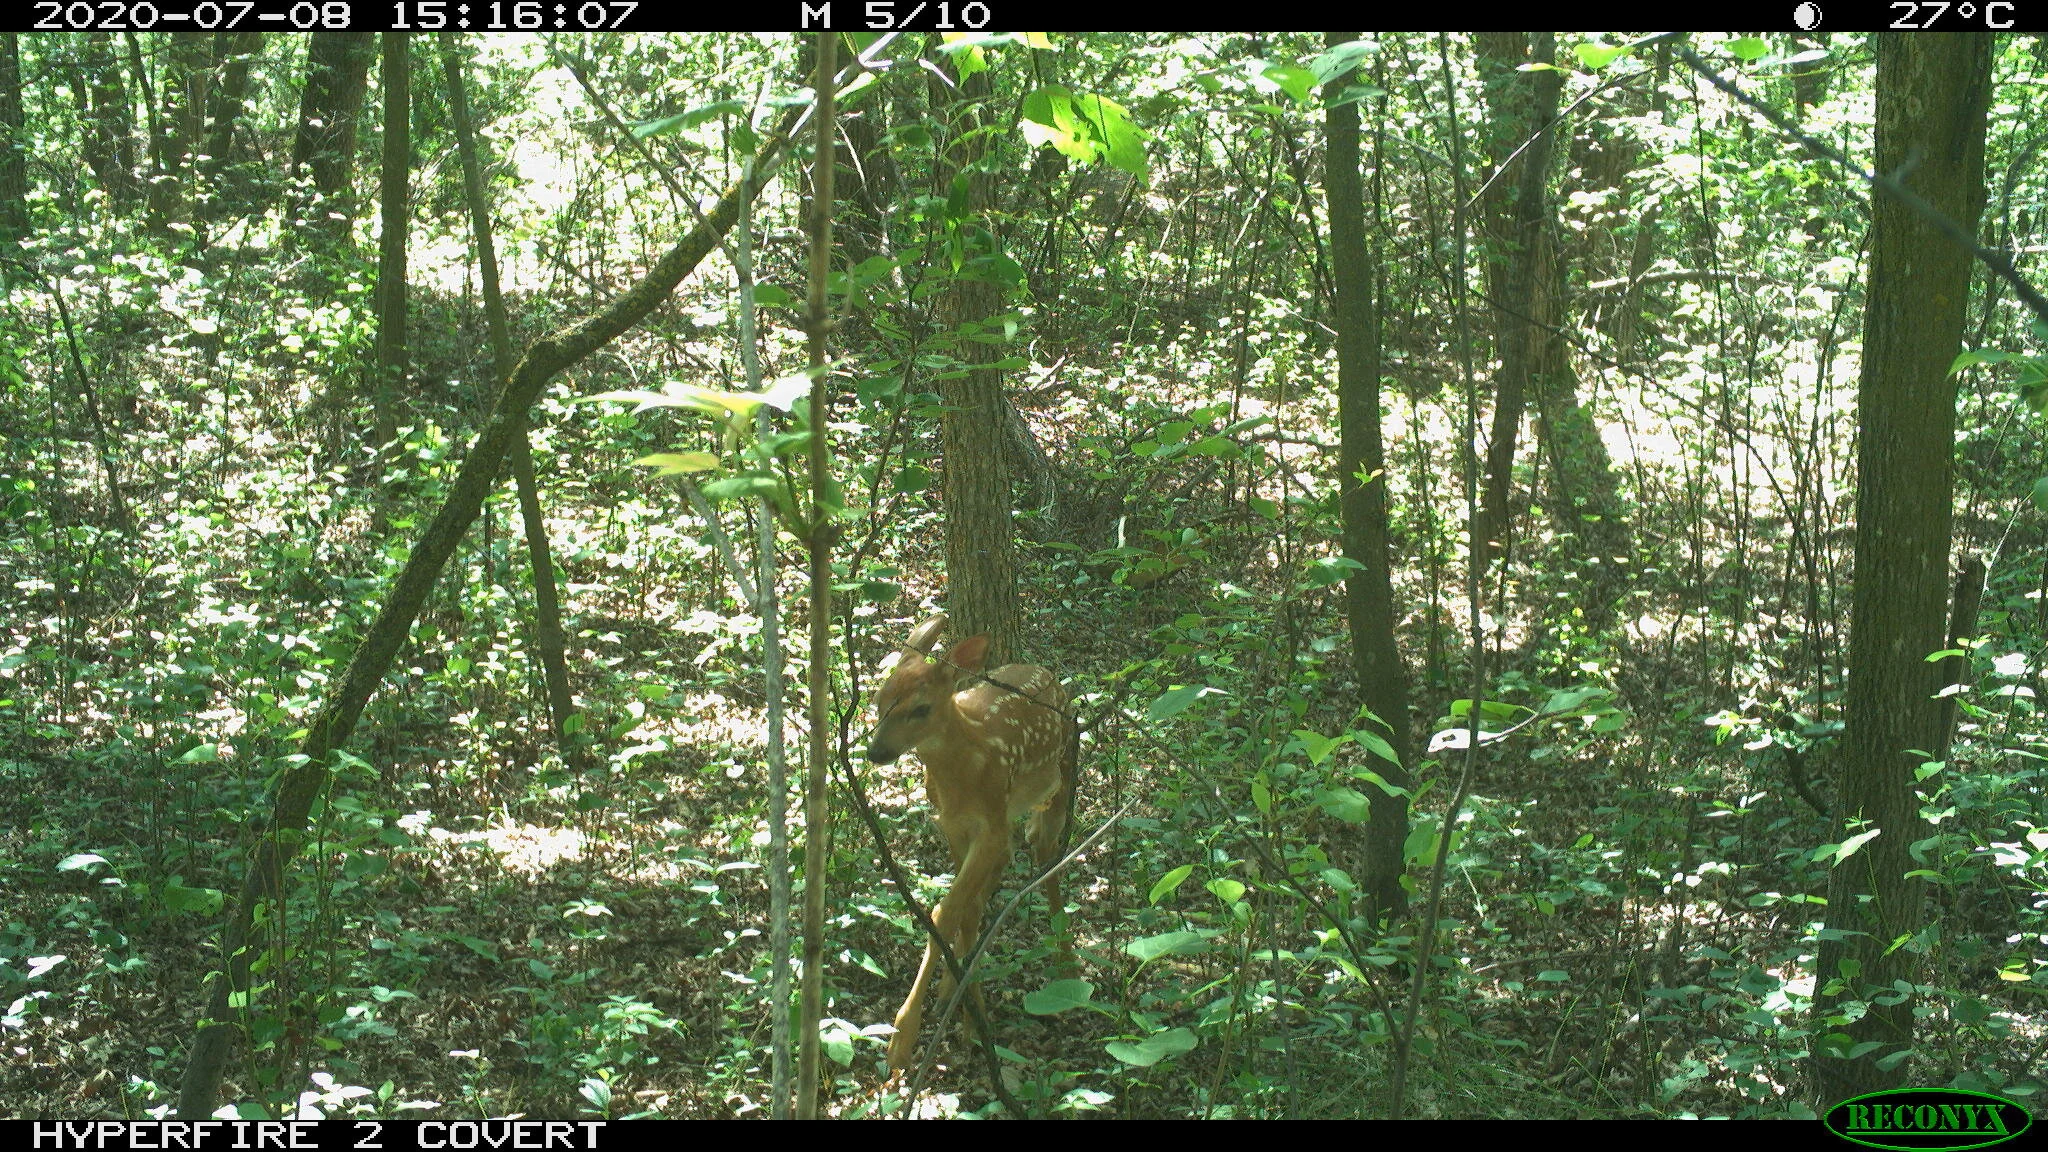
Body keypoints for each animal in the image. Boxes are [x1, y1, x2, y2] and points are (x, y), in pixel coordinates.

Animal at [866, 612, 1078, 1078]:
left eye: (921, 708)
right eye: (878, 699)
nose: (876, 752)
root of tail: (1047, 671)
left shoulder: (989, 822)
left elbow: (945, 912)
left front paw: (903, 1041)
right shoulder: (952, 824)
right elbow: (963, 911)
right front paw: (962, 1010)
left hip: (1061, 776)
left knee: (1046, 859)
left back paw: (1066, 965)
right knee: (998, 876)